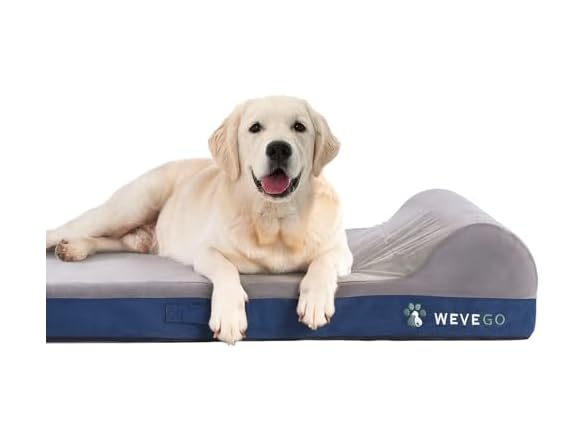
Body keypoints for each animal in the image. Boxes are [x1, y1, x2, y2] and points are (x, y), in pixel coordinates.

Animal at [46, 96, 353, 344]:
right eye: (255, 128)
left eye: (299, 127)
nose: (278, 148)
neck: (273, 219)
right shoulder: (206, 251)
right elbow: (226, 269)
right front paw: (229, 316)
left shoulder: (342, 252)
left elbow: (323, 261)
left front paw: (315, 301)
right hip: (130, 206)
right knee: (72, 228)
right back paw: (66, 244)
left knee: (115, 241)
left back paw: (75, 248)